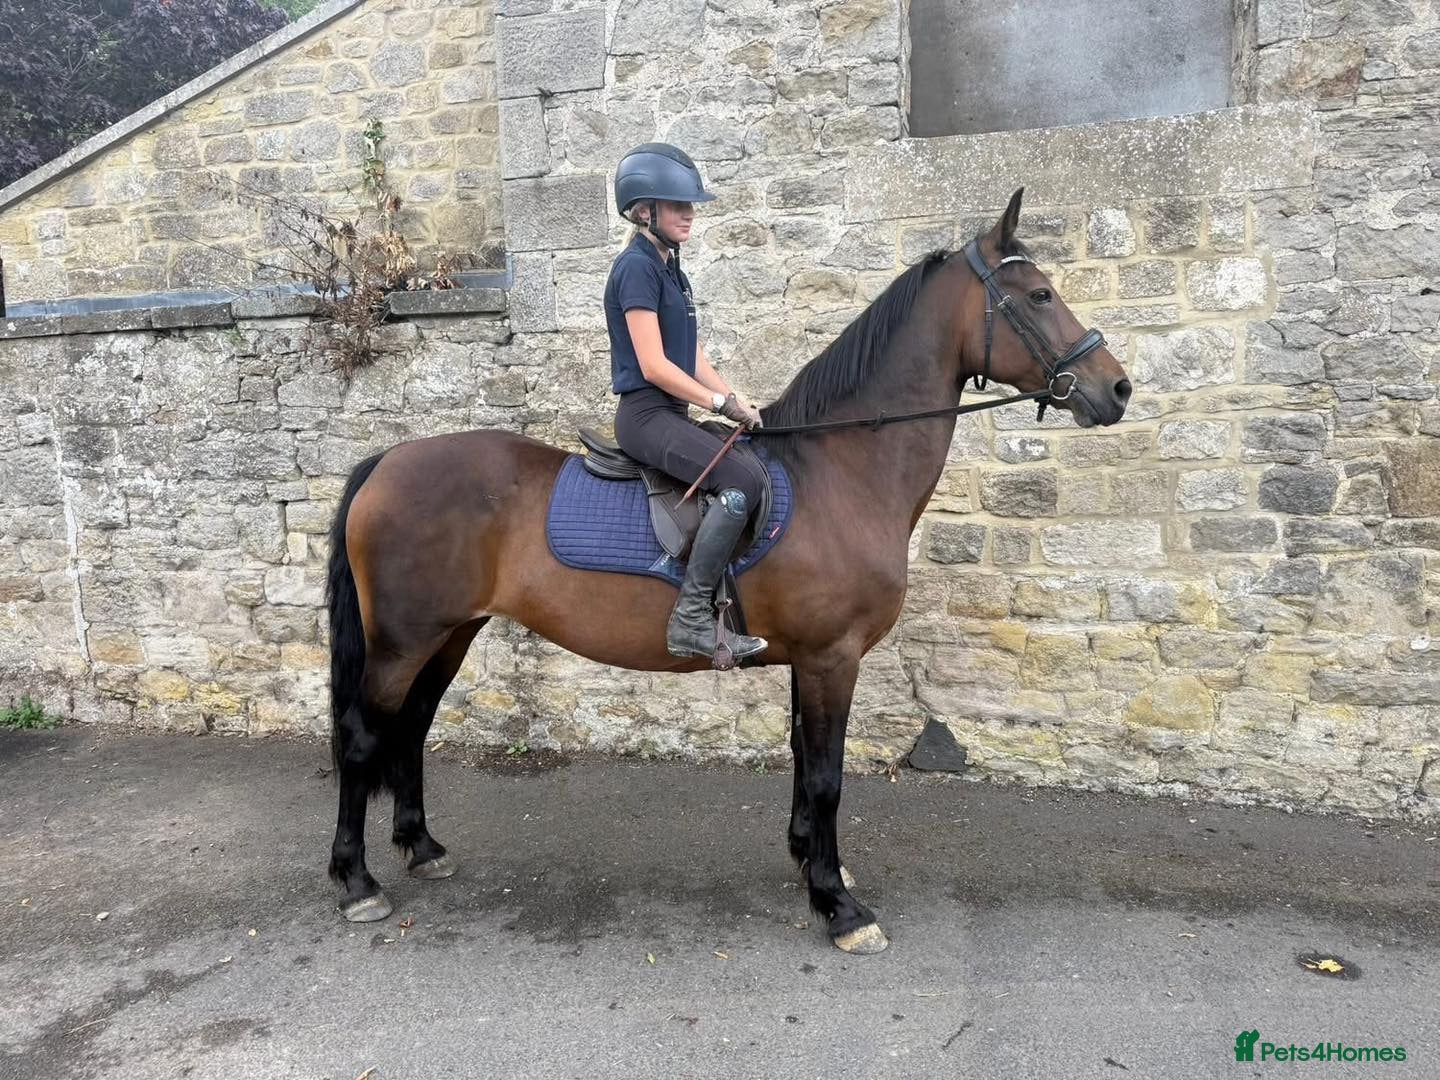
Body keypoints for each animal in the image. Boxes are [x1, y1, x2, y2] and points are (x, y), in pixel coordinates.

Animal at [324, 189, 1131, 954]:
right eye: (1039, 296)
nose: (1117, 389)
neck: (842, 470)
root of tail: (386, 462)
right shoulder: (833, 657)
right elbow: (828, 776)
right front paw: (840, 906)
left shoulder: (810, 658)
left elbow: (804, 761)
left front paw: (810, 864)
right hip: (404, 640)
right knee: (364, 736)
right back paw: (356, 880)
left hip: (449, 633)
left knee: (411, 727)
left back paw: (422, 846)